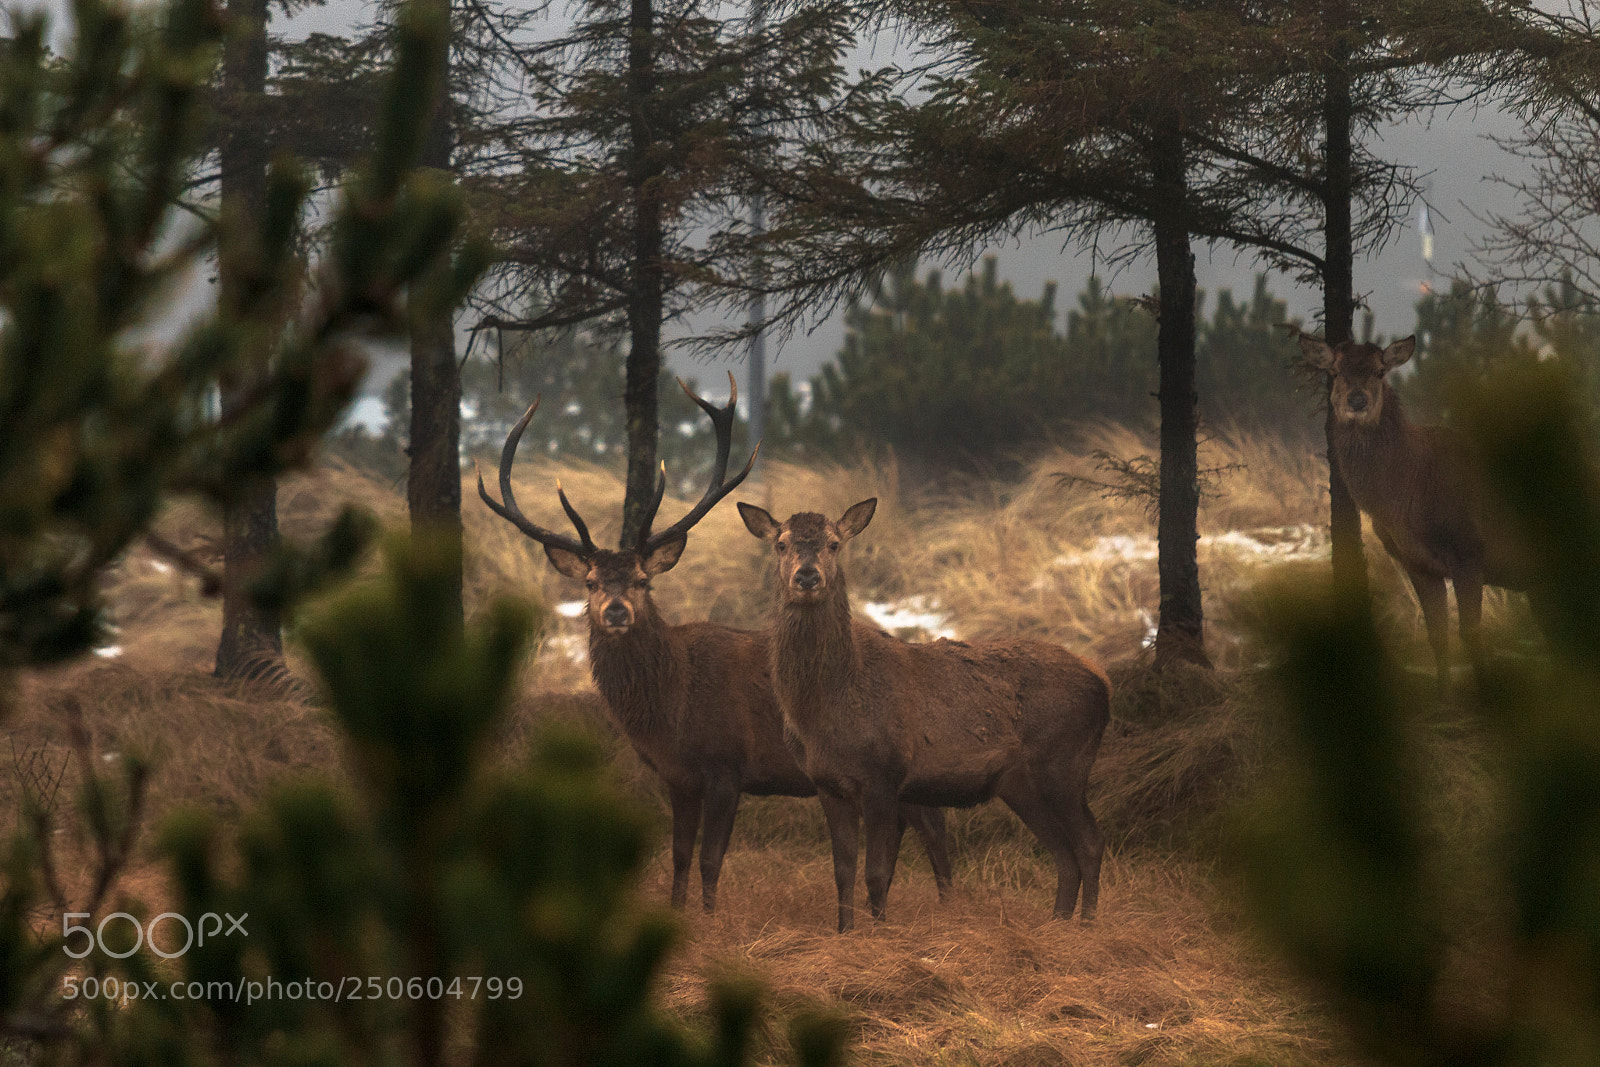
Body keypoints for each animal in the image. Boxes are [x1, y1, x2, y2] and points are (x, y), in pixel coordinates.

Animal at [478, 376, 953, 914]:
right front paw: (677, 912)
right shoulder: (677, 777)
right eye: (592, 583)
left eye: (643, 581)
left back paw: (945, 906)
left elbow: (711, 858)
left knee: (934, 828)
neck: (671, 710)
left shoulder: (728, 763)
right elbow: (680, 855)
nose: (616, 611)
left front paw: (707, 916)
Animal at [738, 497, 1111, 932]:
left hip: (1065, 763)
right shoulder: (827, 784)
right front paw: (844, 932)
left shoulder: (884, 775)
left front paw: (880, 933)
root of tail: (1103, 682)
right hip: (1020, 784)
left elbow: (877, 872)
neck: (826, 709)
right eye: (780, 544)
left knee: (1090, 843)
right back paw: (1056, 925)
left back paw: (1086, 926)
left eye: (834, 544)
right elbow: (842, 871)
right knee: (1063, 853)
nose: (808, 576)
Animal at [1291, 329, 1529, 685]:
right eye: (1334, 370)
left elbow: (1472, 634)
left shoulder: (1469, 549)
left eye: (1379, 371)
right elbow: (1438, 637)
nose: (1357, 400)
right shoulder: (1416, 563)